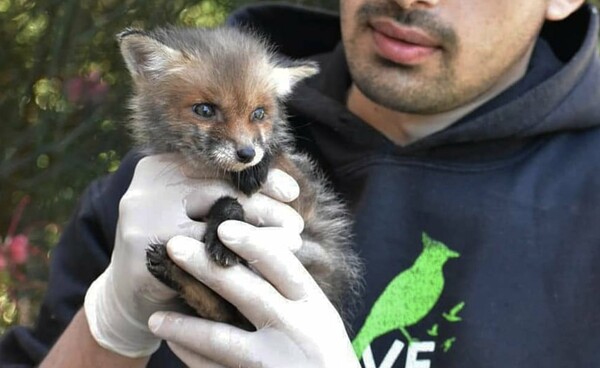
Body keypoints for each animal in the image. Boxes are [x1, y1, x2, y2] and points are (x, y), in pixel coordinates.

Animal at [116, 26, 360, 328]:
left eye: (258, 113)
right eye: (205, 110)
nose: (247, 154)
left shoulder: (304, 200)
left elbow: (256, 181)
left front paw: (225, 231)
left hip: (308, 253)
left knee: (230, 315)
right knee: (221, 314)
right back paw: (172, 270)